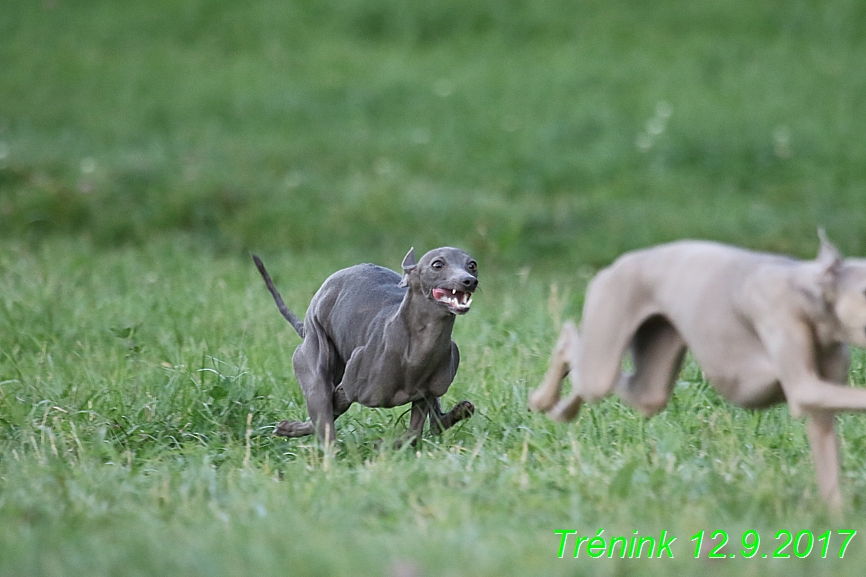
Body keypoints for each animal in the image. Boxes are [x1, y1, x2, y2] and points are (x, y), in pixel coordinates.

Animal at [253, 248, 476, 446]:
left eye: (472, 265)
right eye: (437, 264)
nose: (469, 281)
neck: (418, 347)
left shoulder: (426, 393)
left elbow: (413, 435)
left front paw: (383, 444)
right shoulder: (350, 387)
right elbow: (330, 411)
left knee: (437, 424)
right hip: (316, 358)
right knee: (322, 404)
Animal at [528, 232, 864, 510]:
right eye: (864, 290)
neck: (813, 294)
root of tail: (619, 262)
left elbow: (824, 437)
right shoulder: (787, 339)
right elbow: (813, 393)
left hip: (655, 356)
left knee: (634, 391)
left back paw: (560, 409)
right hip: (607, 322)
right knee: (573, 348)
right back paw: (543, 397)